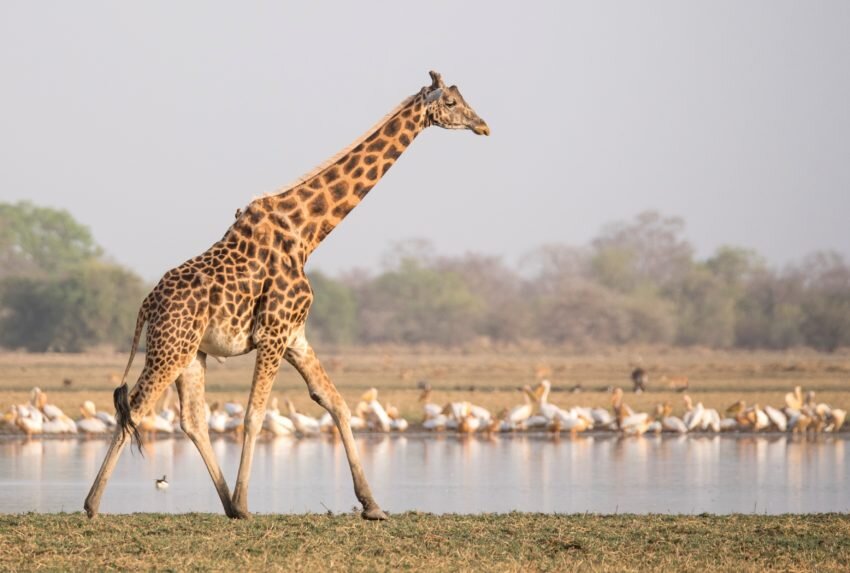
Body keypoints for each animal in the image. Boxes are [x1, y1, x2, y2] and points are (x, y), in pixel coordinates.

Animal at [84, 70, 490, 520]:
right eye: (451, 102)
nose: (483, 125)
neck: (307, 233)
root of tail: (146, 306)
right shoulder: (274, 333)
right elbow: (255, 414)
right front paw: (248, 502)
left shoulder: (296, 336)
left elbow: (335, 403)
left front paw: (372, 505)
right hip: (170, 348)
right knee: (136, 408)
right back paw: (94, 503)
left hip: (191, 352)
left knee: (191, 419)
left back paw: (225, 503)